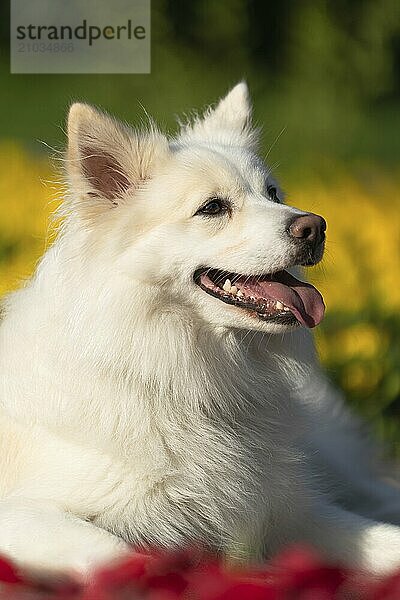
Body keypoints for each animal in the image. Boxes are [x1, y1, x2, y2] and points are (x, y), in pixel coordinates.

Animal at [0, 82, 400, 580]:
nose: (316, 226)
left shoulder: (291, 511)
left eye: (273, 193)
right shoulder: (26, 511)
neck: (183, 374)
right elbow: (124, 555)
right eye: (212, 208)